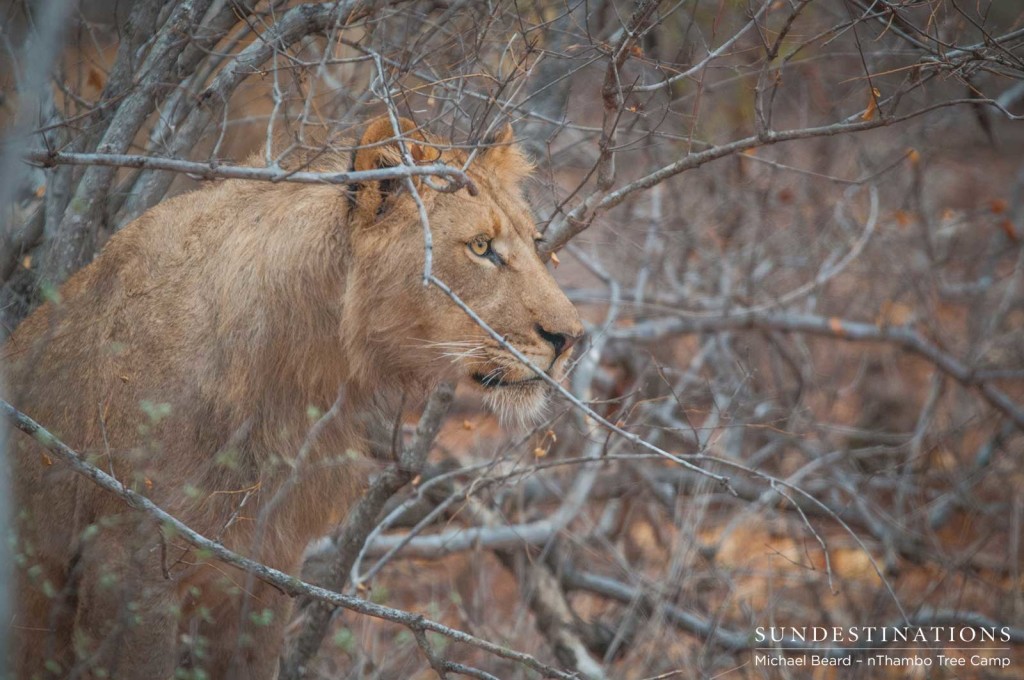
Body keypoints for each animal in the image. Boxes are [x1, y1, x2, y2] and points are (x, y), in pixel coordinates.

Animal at [4, 119, 585, 675]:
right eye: (481, 247)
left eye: (537, 243)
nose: (571, 338)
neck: (300, 373)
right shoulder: (129, 563)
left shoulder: (266, 570)